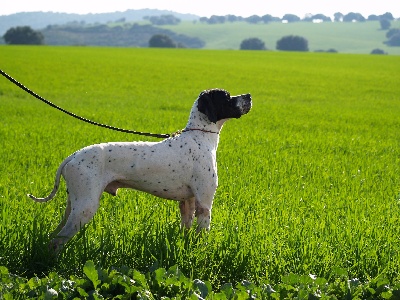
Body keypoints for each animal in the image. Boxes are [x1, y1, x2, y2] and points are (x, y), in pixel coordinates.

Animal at [29, 88, 252, 252]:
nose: (249, 96)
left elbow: (186, 231)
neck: (200, 136)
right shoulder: (204, 204)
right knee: (57, 241)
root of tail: (73, 156)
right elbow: (203, 235)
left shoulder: (187, 203)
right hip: (86, 207)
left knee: (54, 236)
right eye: (226, 96)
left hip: (73, 206)